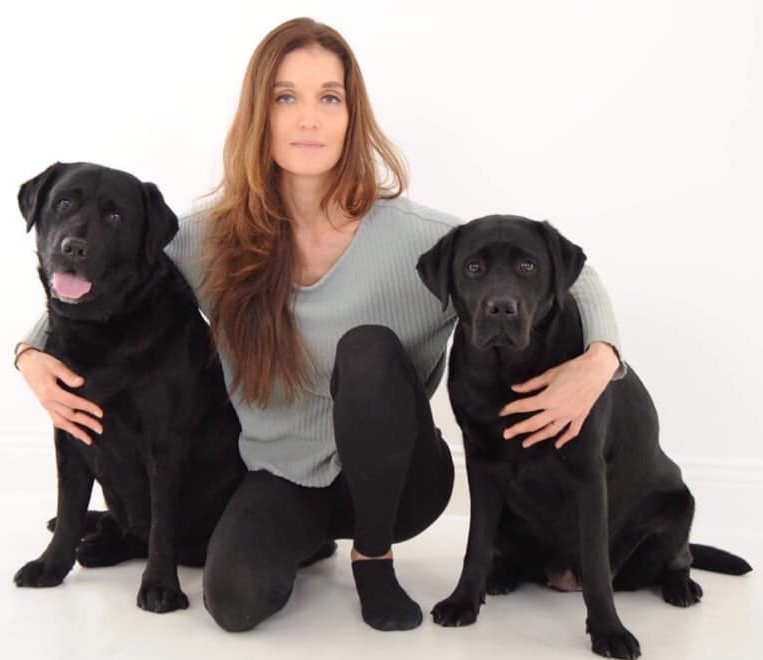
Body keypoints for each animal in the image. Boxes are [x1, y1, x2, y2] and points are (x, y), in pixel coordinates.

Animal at [14, 161, 245, 612]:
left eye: (115, 216)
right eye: (63, 202)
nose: (74, 248)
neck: (102, 333)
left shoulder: (165, 444)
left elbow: (162, 526)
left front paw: (160, 587)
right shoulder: (69, 433)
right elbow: (69, 508)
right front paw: (50, 566)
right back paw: (96, 540)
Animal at [418, 215, 752, 656]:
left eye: (528, 266)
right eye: (473, 267)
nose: (501, 307)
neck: (510, 371)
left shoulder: (588, 475)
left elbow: (595, 565)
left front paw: (610, 631)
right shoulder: (481, 465)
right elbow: (476, 543)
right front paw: (463, 601)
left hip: (679, 504)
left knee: (678, 558)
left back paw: (681, 587)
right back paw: (500, 576)